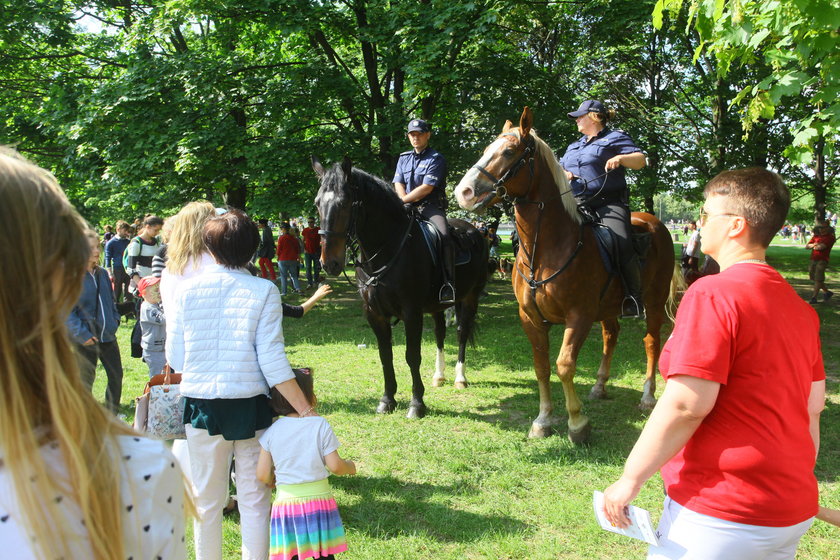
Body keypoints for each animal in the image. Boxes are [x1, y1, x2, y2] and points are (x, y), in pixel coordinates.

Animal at [312, 155, 488, 418]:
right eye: (317, 203)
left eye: (344, 204)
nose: (329, 263)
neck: (388, 248)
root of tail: (473, 231)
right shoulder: (374, 314)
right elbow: (385, 355)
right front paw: (387, 400)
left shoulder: (411, 313)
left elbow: (412, 356)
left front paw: (417, 404)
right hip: (437, 306)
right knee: (440, 333)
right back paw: (439, 376)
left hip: (469, 298)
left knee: (461, 332)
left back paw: (460, 378)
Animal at [456, 108, 680, 442]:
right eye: (486, 150)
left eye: (509, 152)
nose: (464, 192)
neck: (547, 249)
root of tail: (656, 224)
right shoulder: (531, 318)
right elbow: (542, 367)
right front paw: (543, 419)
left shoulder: (579, 316)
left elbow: (564, 365)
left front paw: (577, 423)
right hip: (609, 308)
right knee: (611, 336)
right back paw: (600, 386)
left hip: (652, 302)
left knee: (651, 342)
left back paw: (647, 395)